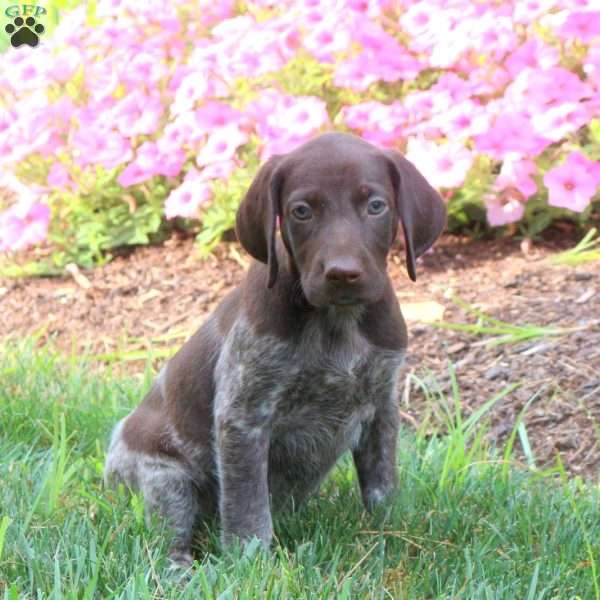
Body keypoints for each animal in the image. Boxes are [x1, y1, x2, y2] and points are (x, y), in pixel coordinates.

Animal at [105, 129, 448, 564]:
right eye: (302, 211)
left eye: (376, 206)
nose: (342, 274)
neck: (336, 322)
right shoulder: (243, 417)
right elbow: (248, 504)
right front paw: (250, 562)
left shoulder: (382, 406)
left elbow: (382, 483)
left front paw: (392, 533)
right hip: (166, 480)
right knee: (168, 538)